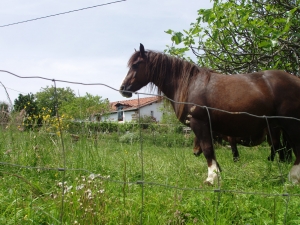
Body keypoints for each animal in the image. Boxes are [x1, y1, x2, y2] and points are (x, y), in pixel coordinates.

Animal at [119, 44, 300, 185]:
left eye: (136, 65)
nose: (123, 88)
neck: (190, 85)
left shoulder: (199, 123)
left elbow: (207, 149)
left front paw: (212, 178)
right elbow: (211, 149)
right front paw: (218, 173)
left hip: (289, 124)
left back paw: (293, 178)